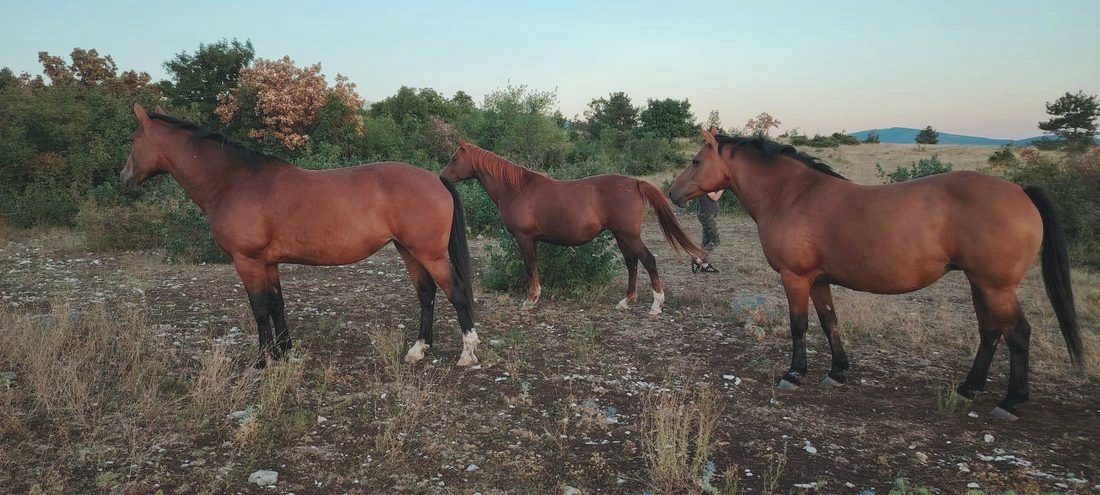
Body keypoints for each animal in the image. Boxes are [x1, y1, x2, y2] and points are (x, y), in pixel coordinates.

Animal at [121, 104, 480, 368]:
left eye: (132, 139)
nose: (125, 178)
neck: (233, 181)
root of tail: (435, 178)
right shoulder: (268, 263)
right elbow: (277, 304)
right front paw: (284, 351)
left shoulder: (247, 261)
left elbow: (259, 309)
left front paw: (262, 361)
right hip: (408, 250)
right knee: (426, 294)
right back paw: (419, 349)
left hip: (429, 253)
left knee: (457, 292)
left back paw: (467, 352)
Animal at [440, 139, 704, 315]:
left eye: (454, 159)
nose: (442, 178)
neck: (516, 189)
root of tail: (636, 183)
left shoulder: (525, 239)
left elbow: (530, 267)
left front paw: (531, 300)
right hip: (622, 236)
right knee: (631, 263)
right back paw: (626, 301)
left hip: (629, 235)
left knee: (648, 260)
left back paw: (656, 304)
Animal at [668, 129, 1083, 420]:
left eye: (695, 161)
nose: (672, 193)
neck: (791, 195)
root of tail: (1019, 190)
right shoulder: (819, 280)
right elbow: (829, 322)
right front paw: (837, 371)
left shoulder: (796, 277)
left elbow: (799, 325)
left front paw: (794, 373)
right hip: (979, 284)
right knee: (990, 331)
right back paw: (968, 388)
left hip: (997, 287)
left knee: (1018, 333)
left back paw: (1011, 402)